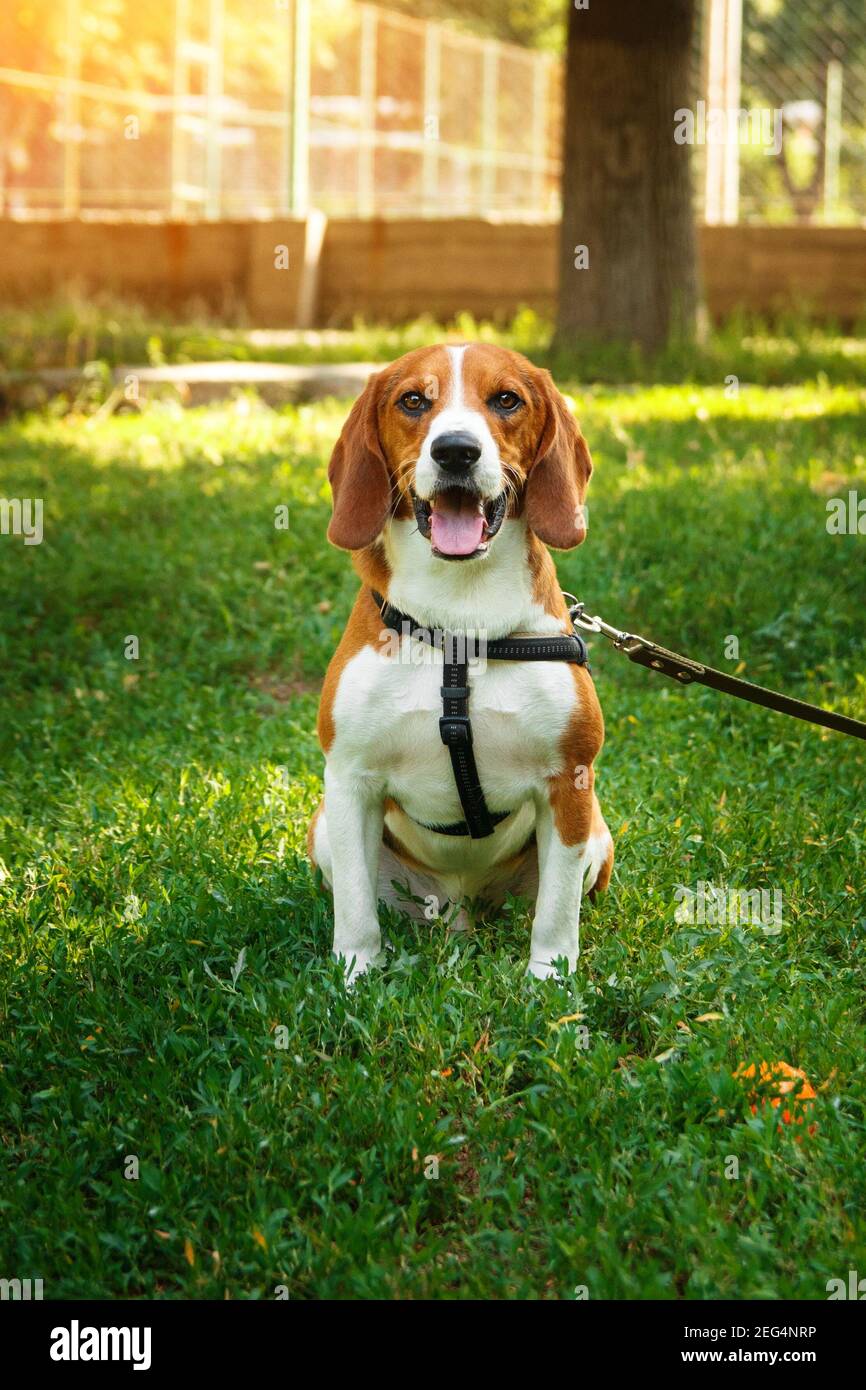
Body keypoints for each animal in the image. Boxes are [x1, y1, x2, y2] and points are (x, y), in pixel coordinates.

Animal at [308, 341, 614, 984]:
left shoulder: (570, 782)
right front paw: (355, 978)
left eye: (506, 400)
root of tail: (461, 906)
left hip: (598, 835)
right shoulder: (349, 779)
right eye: (412, 401)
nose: (455, 449)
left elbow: (557, 913)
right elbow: (354, 908)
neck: (460, 625)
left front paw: (550, 984)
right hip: (323, 827)